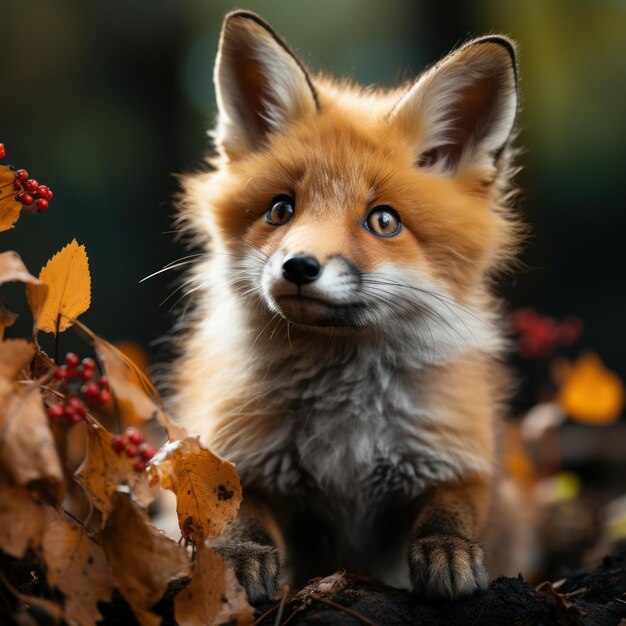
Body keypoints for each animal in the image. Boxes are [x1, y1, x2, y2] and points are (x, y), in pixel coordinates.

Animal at [169, 9, 532, 604]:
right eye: (280, 209)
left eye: (383, 220)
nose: (298, 267)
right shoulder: (238, 451)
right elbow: (235, 511)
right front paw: (240, 557)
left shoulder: (453, 451)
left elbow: (452, 507)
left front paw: (448, 550)